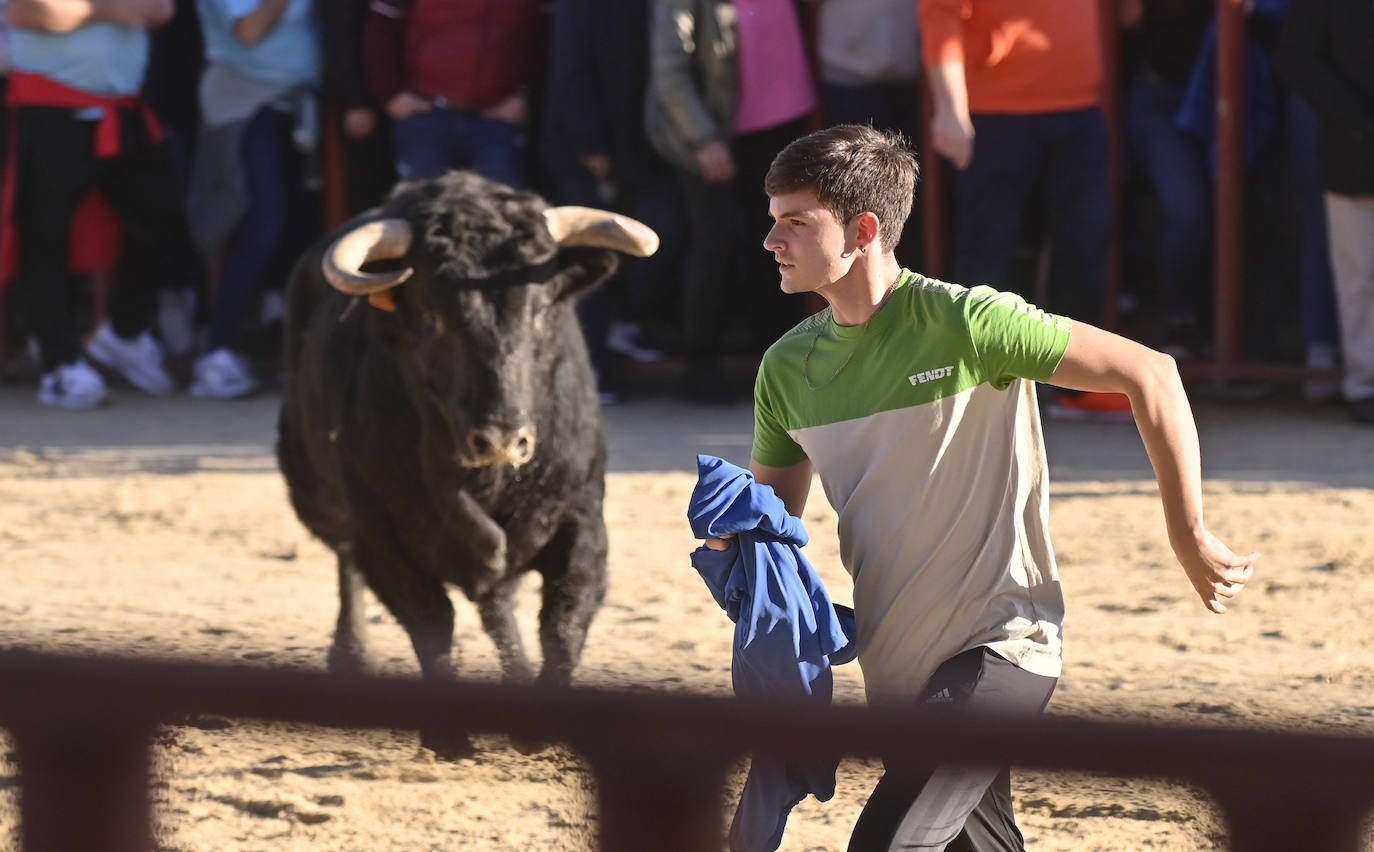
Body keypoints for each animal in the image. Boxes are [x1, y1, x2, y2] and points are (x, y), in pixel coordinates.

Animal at [276, 169, 656, 753]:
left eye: (540, 309)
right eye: (432, 316)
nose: (500, 438)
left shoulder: (581, 515)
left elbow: (565, 612)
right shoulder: (382, 533)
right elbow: (431, 618)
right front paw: (448, 735)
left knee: (498, 601)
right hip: (314, 490)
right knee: (347, 558)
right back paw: (351, 655)